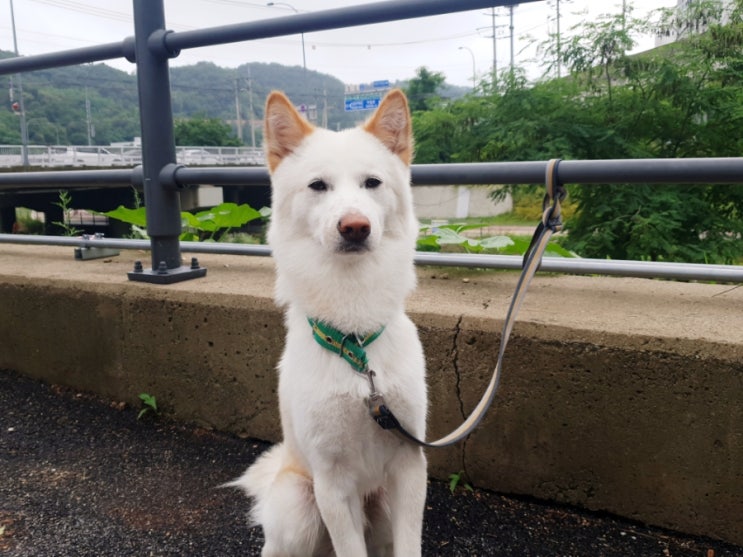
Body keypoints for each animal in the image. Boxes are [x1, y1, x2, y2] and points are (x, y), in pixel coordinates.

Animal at [228, 89, 428, 556]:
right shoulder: (331, 482)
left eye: (372, 182)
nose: (355, 226)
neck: (356, 344)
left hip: (381, 506)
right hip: (298, 508)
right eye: (318, 185)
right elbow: (348, 547)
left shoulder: (411, 464)